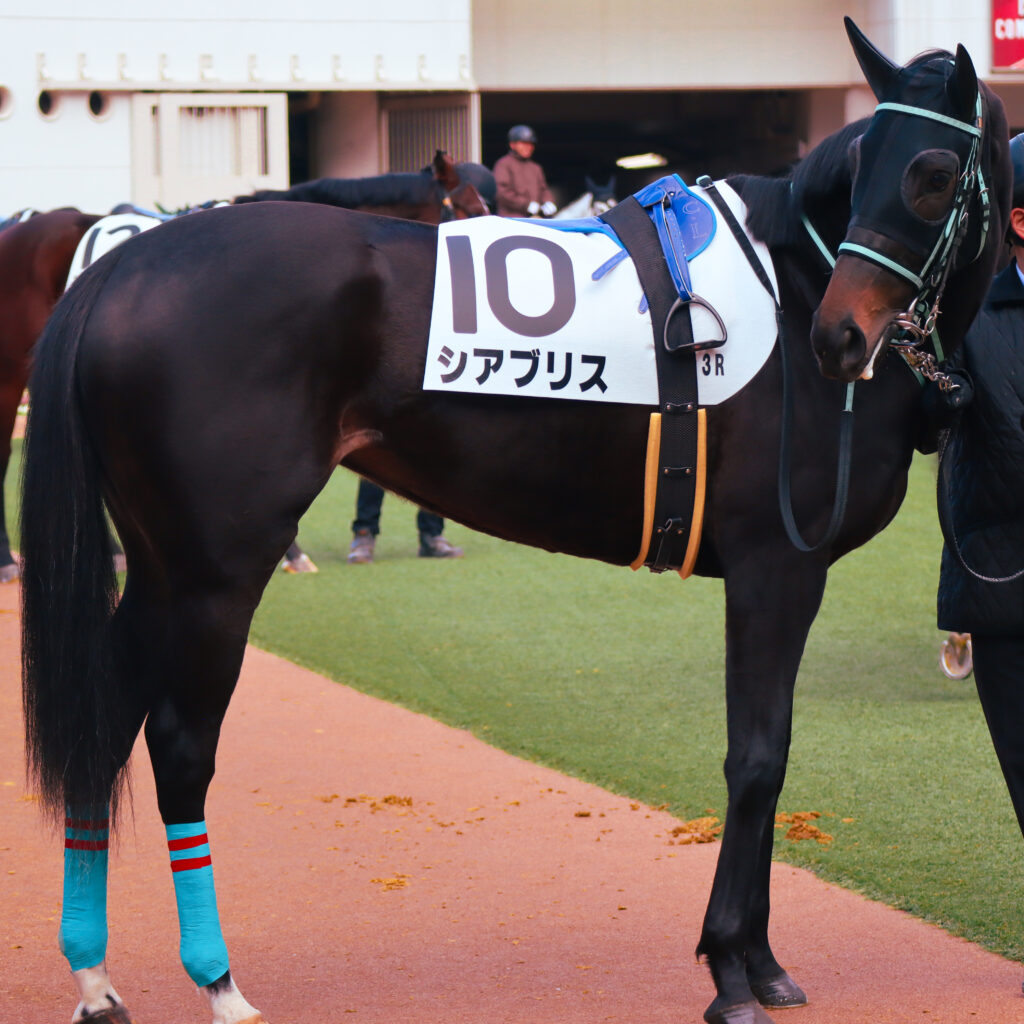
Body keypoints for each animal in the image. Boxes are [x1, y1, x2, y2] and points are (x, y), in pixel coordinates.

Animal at [19, 20, 1009, 1024]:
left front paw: (762, 962)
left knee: (103, 723)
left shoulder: (782, 575)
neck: (794, 282)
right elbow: (758, 757)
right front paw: (733, 969)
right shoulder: (777, 566)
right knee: (180, 748)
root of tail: (122, 264)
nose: (842, 338)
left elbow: (771, 754)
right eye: (874, 163)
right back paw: (219, 982)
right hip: (215, 570)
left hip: (158, 563)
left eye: (931, 171)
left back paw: (96, 978)